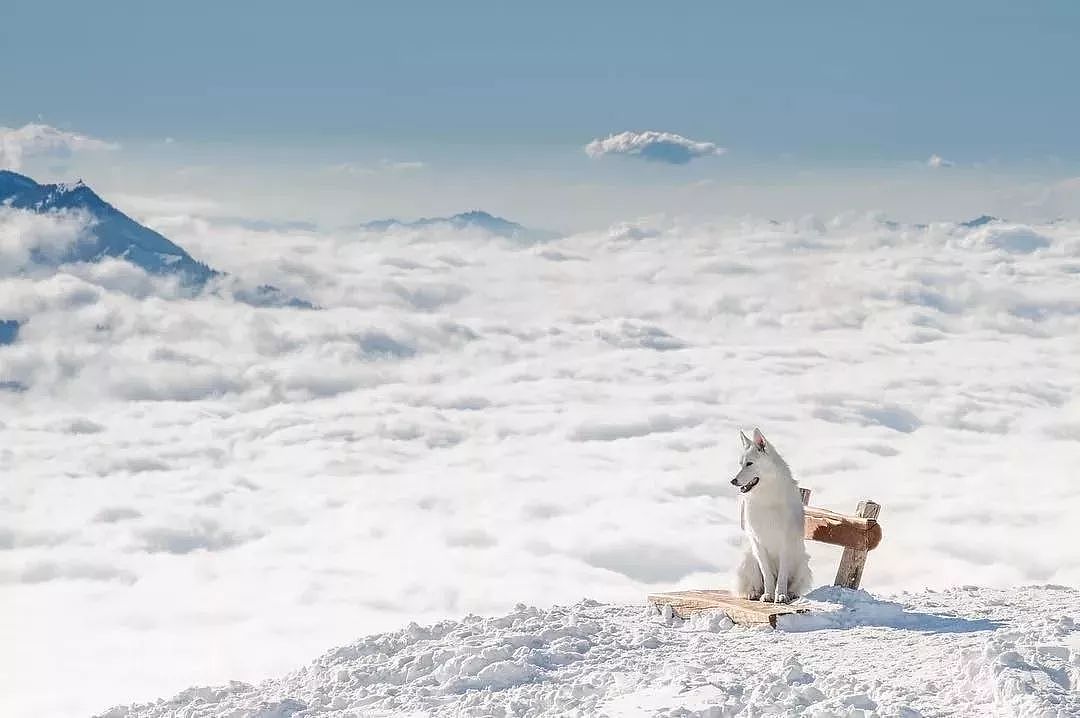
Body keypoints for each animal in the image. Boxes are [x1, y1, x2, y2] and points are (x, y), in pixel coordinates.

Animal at [725, 427, 812, 600]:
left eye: (749, 464)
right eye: (740, 464)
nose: (733, 481)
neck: (766, 498)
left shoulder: (785, 544)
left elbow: (783, 576)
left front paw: (781, 596)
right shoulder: (758, 543)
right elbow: (767, 575)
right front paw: (768, 595)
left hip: (801, 561)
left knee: (794, 584)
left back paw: (790, 593)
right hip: (748, 557)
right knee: (755, 583)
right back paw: (754, 593)